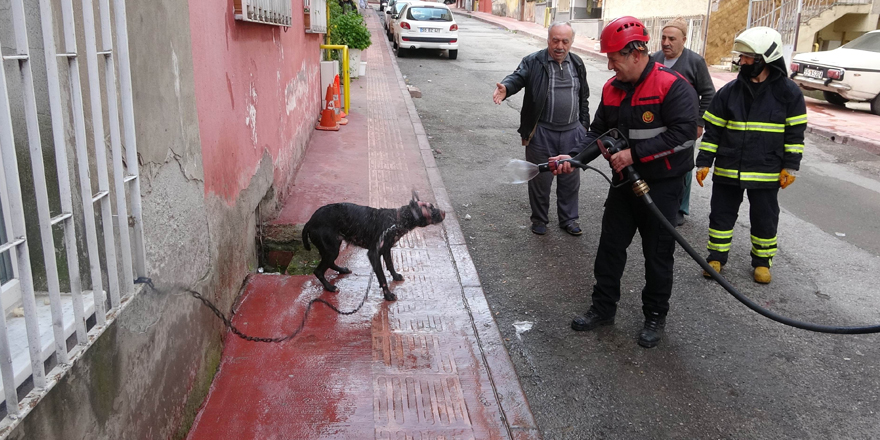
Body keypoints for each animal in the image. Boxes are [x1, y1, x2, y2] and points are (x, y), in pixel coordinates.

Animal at [304, 191, 446, 300]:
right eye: (431, 207)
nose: (445, 212)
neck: (397, 220)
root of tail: (309, 222)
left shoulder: (386, 249)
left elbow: (390, 265)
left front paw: (395, 276)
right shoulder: (374, 254)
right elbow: (382, 277)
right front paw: (388, 295)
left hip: (331, 248)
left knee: (330, 263)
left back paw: (342, 270)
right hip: (331, 249)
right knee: (318, 271)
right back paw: (329, 287)